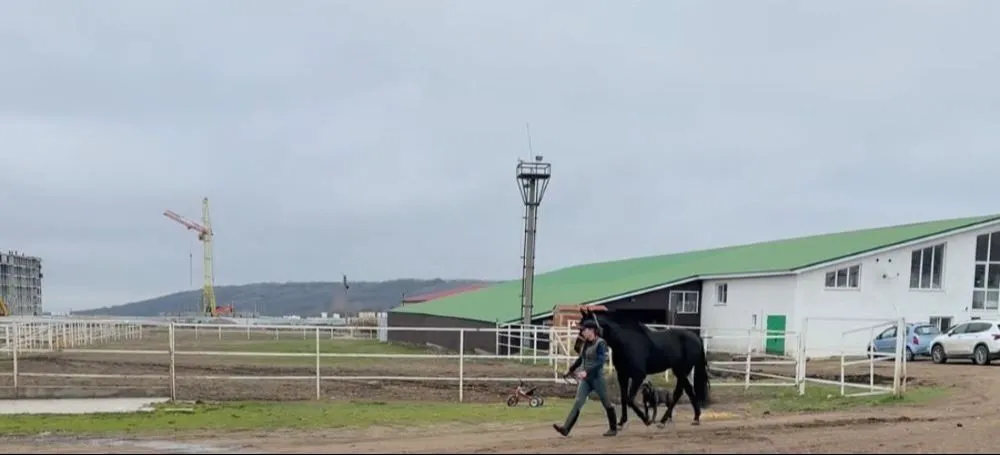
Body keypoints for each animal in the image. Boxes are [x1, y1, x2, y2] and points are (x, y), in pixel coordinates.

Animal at [572, 306, 712, 432]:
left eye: (588, 326)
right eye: (581, 326)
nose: (577, 347)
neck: (626, 341)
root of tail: (696, 337)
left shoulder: (638, 376)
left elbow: (629, 399)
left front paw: (646, 419)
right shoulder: (622, 375)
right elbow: (624, 398)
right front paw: (621, 422)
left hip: (682, 370)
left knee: (678, 393)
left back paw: (662, 422)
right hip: (679, 370)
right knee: (689, 390)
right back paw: (695, 418)